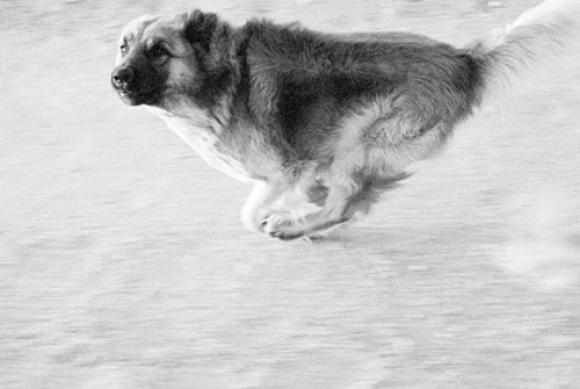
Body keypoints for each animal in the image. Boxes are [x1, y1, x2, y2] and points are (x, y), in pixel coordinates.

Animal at [111, 0, 576, 238]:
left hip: (360, 140)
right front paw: (304, 204)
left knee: (344, 205)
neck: (222, 78)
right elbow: (307, 190)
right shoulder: (300, 167)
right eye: (124, 47)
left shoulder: (283, 170)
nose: (117, 78)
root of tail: (465, 60)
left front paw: (280, 217)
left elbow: (251, 212)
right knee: (353, 197)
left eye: (159, 51)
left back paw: (295, 227)